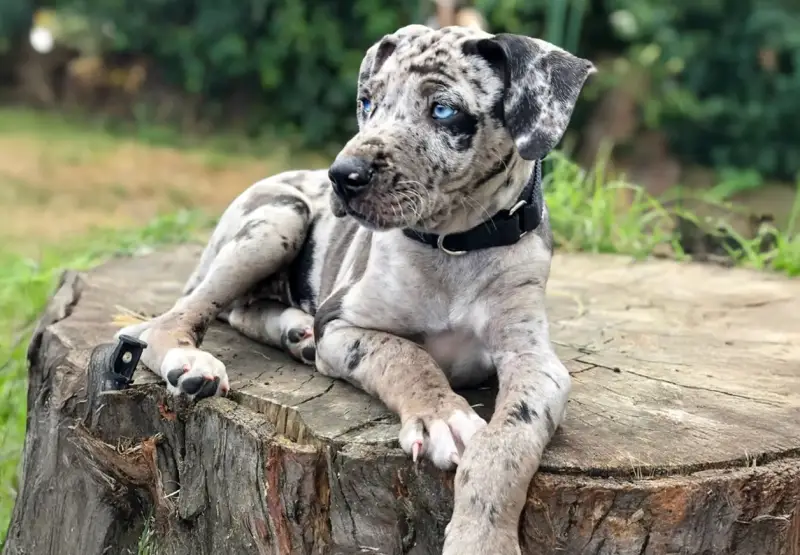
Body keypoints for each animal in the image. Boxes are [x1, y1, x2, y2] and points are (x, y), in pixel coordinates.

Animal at [117, 22, 592, 555]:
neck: (455, 247)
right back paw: (193, 361)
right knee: (177, 317)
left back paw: (297, 334)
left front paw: (481, 536)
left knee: (242, 310)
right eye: (368, 102)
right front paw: (441, 414)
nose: (342, 176)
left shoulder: (536, 361)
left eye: (443, 110)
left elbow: (509, 440)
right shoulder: (345, 325)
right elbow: (407, 356)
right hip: (277, 221)